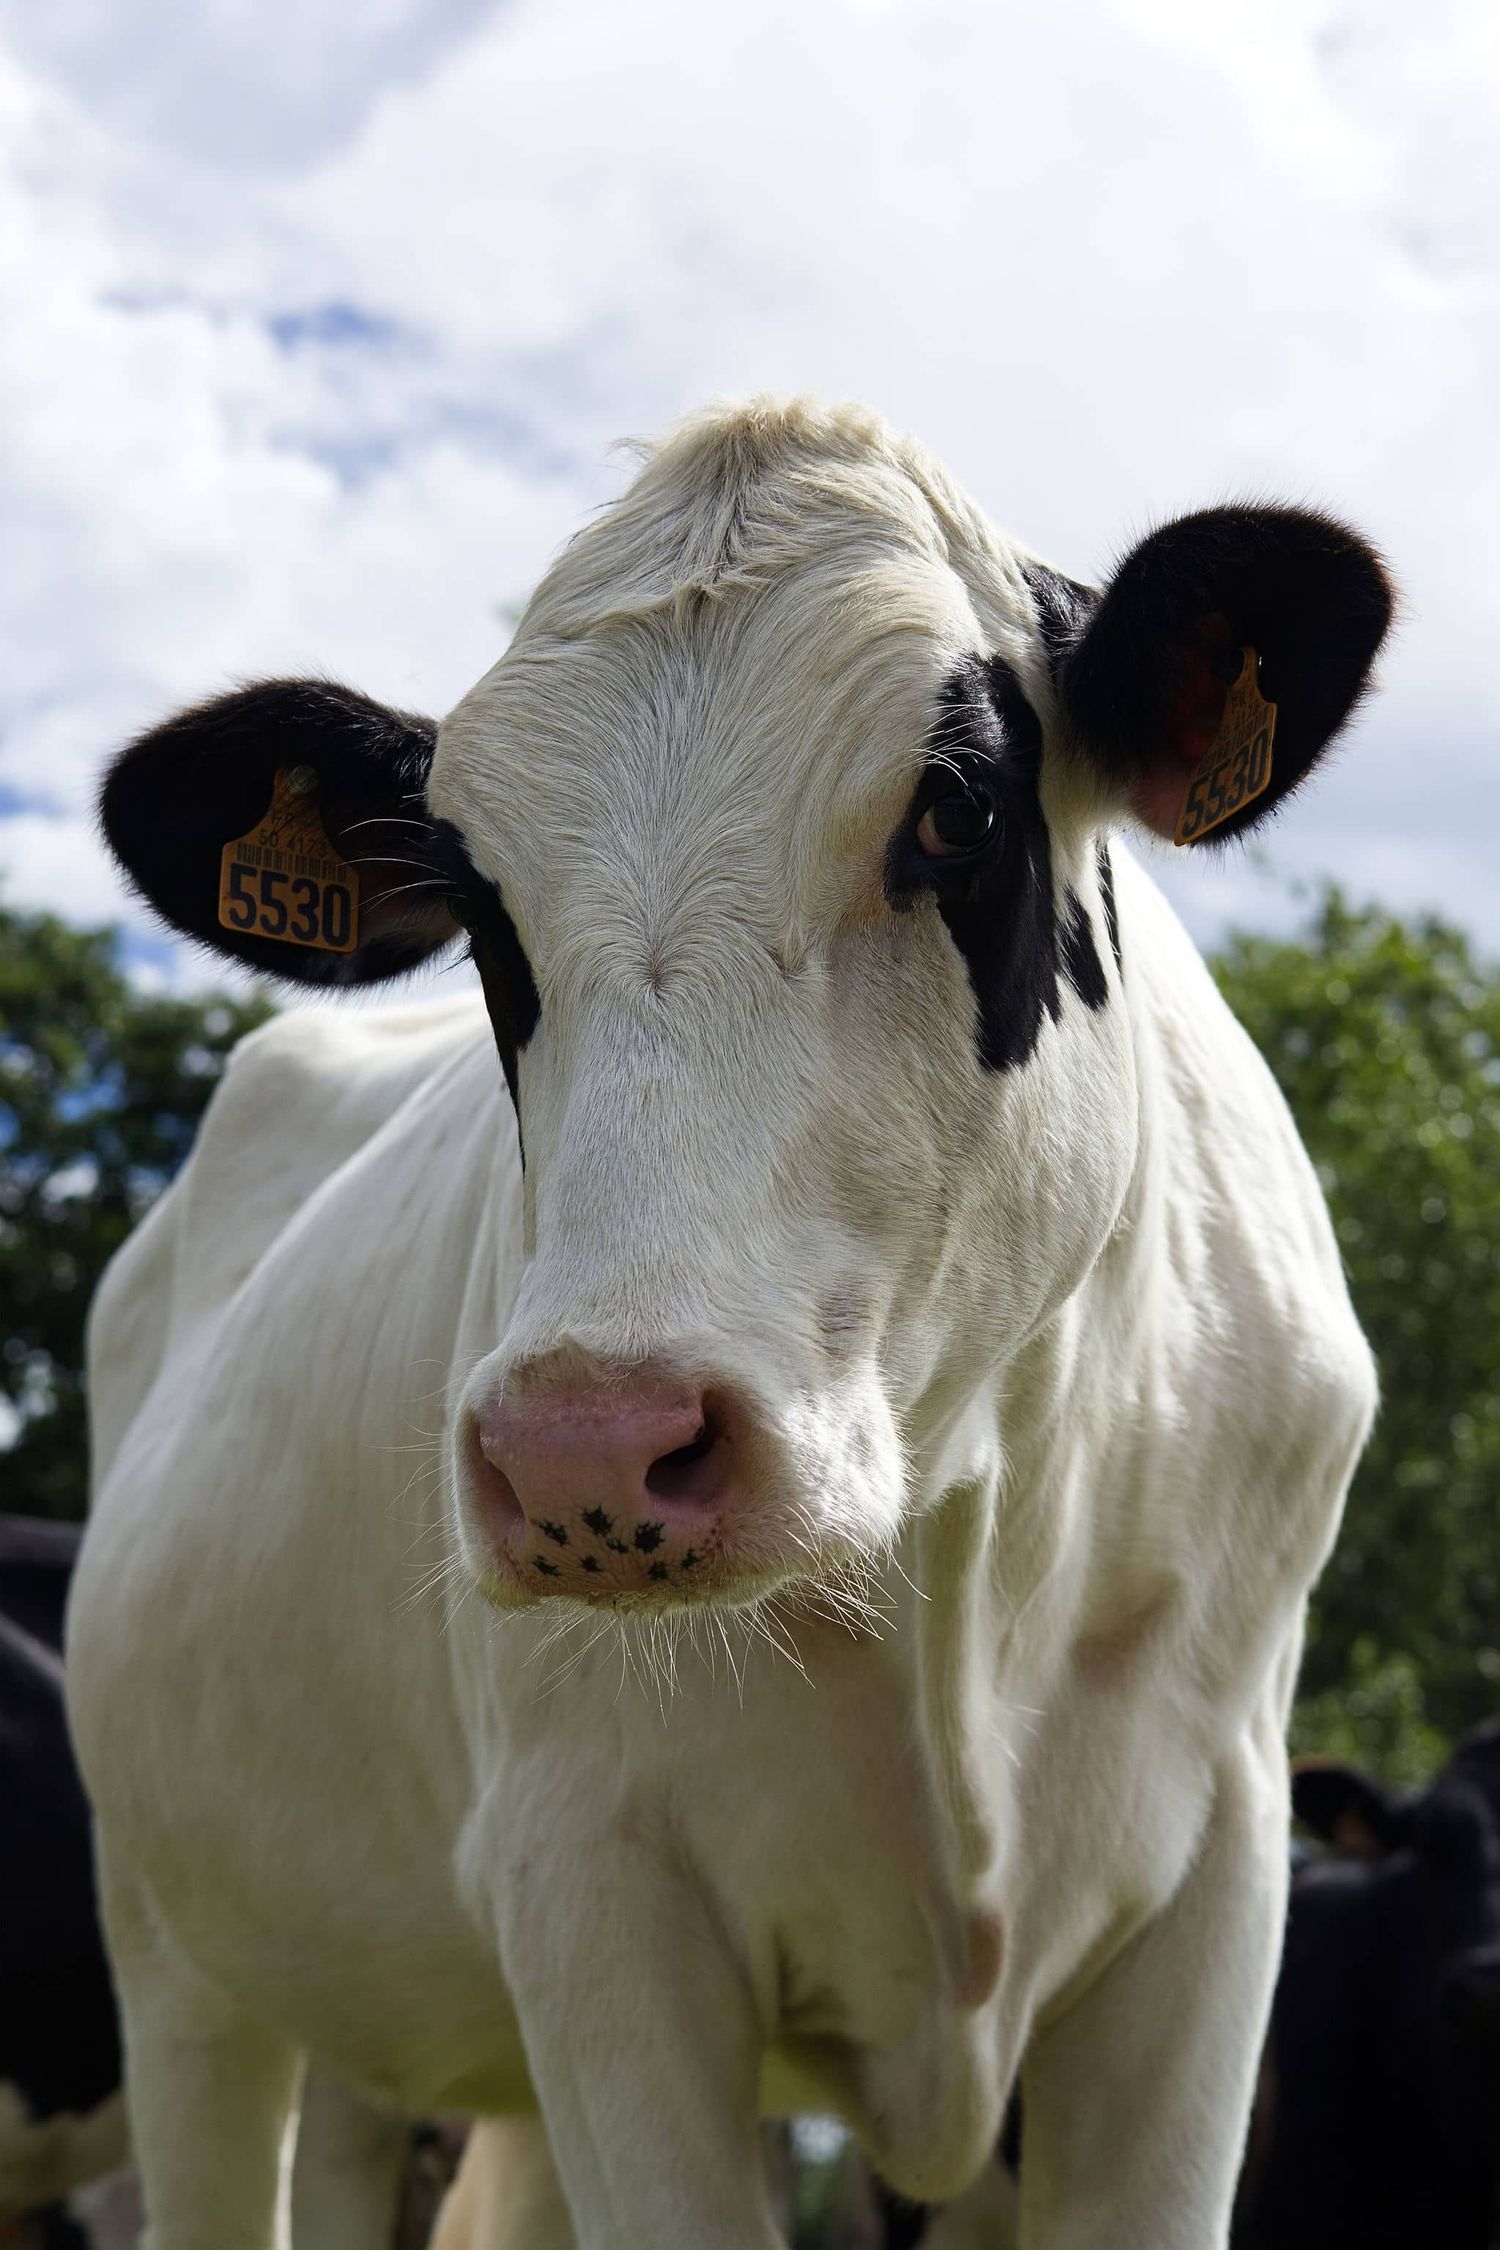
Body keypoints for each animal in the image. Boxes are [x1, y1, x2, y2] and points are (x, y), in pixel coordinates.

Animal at [67, 396, 1393, 2249]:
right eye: (478, 905)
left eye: (957, 812)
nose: (586, 1447)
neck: (960, 1540)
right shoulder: (592, 1887)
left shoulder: (1218, 1874)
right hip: (177, 1953)